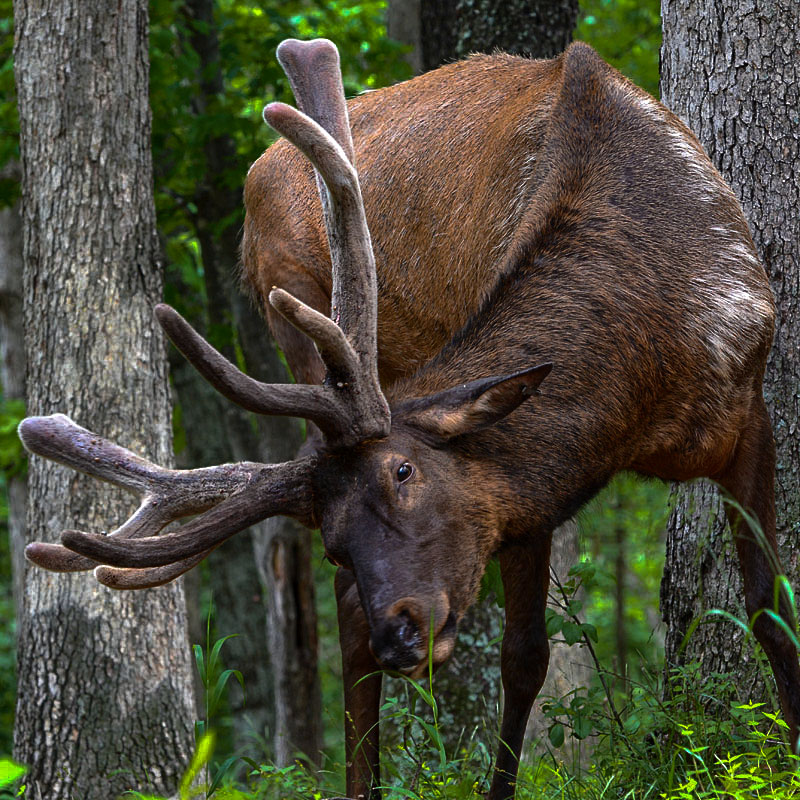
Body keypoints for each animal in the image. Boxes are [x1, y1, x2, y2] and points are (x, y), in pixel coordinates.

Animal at [18, 38, 800, 800]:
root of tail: (258, 174)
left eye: (404, 471)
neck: (642, 386)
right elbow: (525, 656)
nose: (401, 633)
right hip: (291, 306)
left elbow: (768, 603)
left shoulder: (747, 408)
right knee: (345, 620)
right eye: (336, 541)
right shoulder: (525, 495)